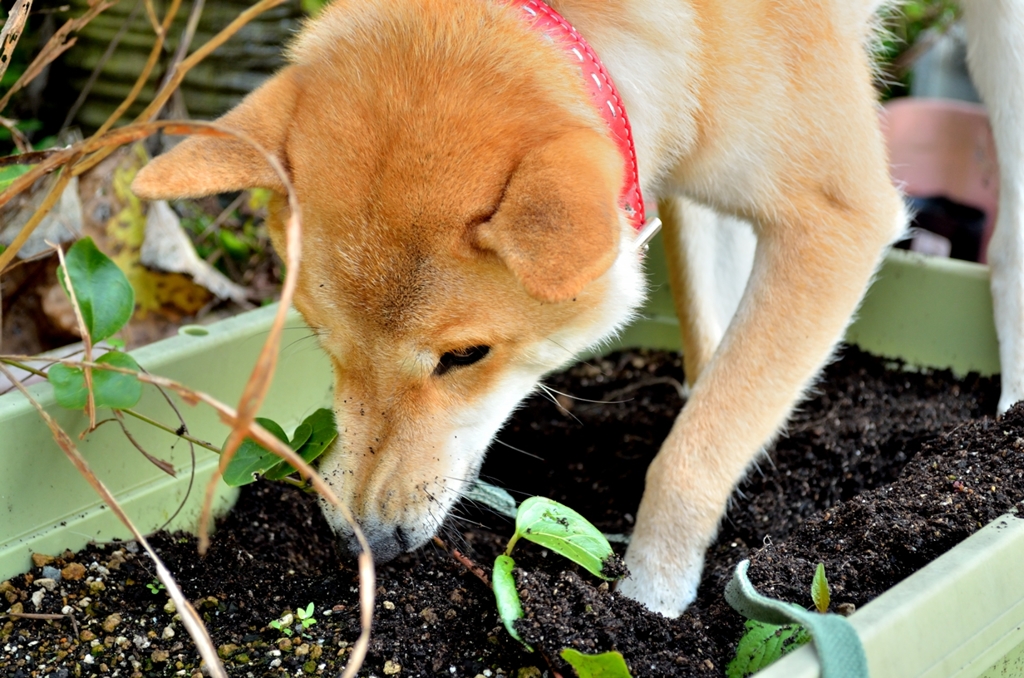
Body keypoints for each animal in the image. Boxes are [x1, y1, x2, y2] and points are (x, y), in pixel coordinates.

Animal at [132, 0, 1019, 622]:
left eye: (466, 357)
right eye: (322, 340)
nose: (368, 544)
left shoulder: (835, 219)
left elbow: (692, 453)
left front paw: (650, 601)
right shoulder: (689, 181)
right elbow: (716, 369)